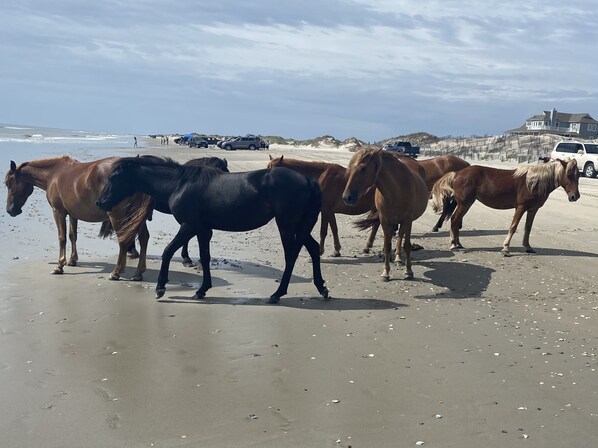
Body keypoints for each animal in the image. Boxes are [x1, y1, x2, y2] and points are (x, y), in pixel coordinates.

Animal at [4, 156, 152, 278]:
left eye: (9, 183)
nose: (10, 210)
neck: (53, 174)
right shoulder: (72, 213)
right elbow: (72, 235)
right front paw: (72, 260)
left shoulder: (58, 212)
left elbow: (62, 238)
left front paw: (59, 266)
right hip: (135, 215)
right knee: (144, 238)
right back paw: (138, 272)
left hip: (118, 216)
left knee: (124, 240)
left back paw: (116, 272)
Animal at [96, 155, 330, 304]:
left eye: (114, 178)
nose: (100, 202)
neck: (179, 184)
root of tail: (308, 180)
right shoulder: (203, 229)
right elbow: (205, 257)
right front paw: (201, 290)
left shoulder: (189, 226)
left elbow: (168, 251)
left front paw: (161, 288)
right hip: (299, 225)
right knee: (312, 248)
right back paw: (322, 288)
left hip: (287, 224)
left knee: (291, 255)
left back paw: (277, 294)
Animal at [342, 147, 432, 280]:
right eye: (350, 168)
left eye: (363, 168)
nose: (347, 197)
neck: (397, 189)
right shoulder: (384, 220)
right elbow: (387, 245)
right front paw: (386, 272)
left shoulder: (408, 220)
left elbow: (407, 245)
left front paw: (409, 271)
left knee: (400, 236)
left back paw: (398, 258)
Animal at [434, 159, 584, 254]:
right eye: (568, 174)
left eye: (578, 176)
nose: (575, 196)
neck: (533, 182)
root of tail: (456, 174)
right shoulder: (521, 207)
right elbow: (513, 226)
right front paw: (505, 248)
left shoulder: (532, 209)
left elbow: (528, 228)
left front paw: (528, 247)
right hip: (464, 203)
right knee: (454, 220)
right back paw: (453, 244)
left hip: (466, 204)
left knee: (456, 221)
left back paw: (458, 243)